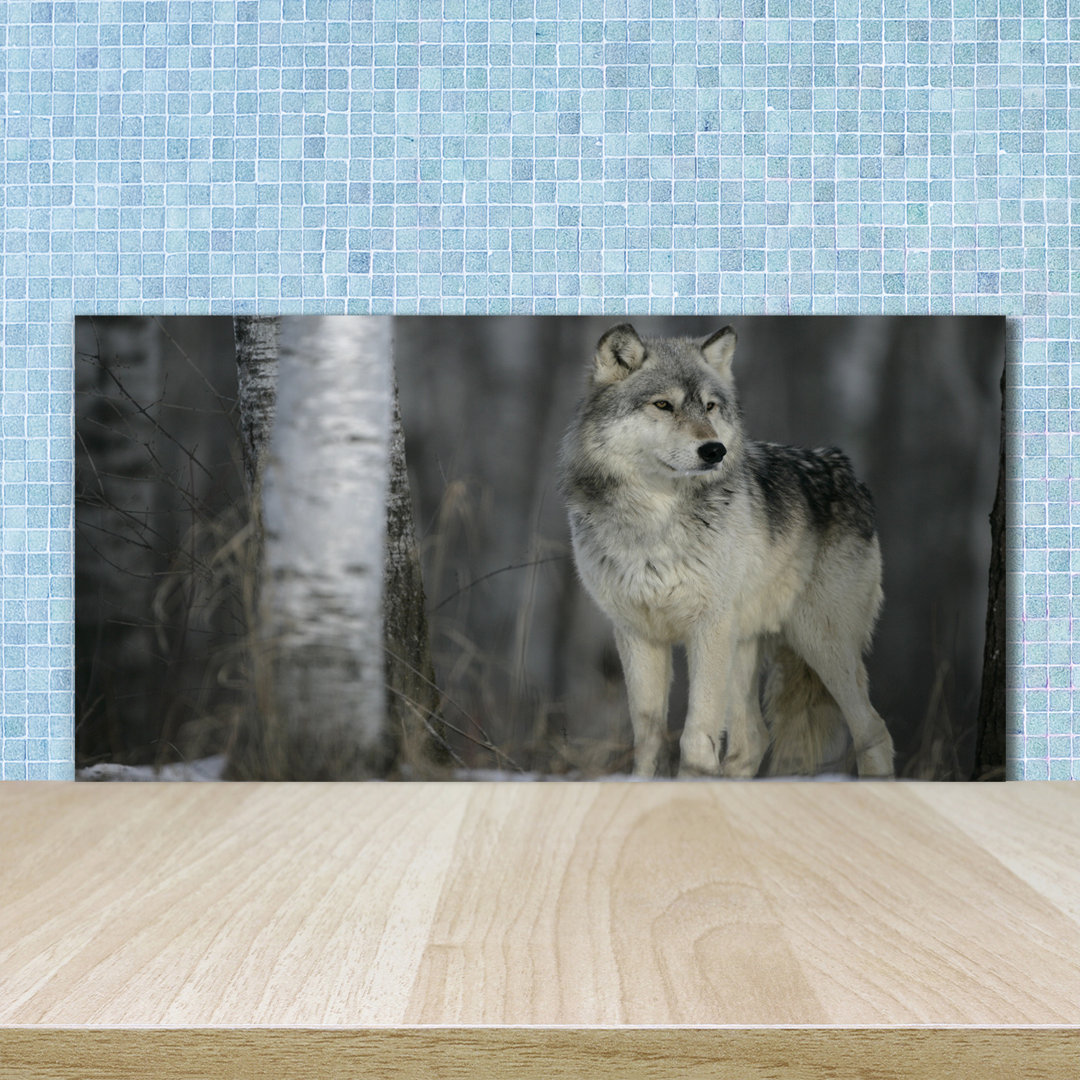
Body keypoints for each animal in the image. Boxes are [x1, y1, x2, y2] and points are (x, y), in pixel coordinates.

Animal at [559, 323, 894, 779]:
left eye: (710, 407)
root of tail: (847, 469)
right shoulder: (637, 633)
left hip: (819, 642)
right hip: (744, 645)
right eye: (663, 405)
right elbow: (648, 737)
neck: (656, 519)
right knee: (753, 738)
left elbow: (695, 735)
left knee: (873, 730)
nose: (714, 449)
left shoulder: (708, 627)